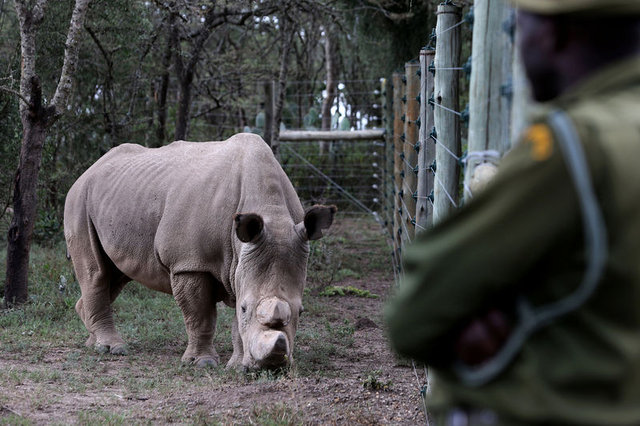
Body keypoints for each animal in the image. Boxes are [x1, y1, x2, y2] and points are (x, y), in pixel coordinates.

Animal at [62, 134, 338, 370]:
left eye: (301, 311)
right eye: (245, 308)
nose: (272, 367)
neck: (271, 212)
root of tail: (89, 169)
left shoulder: (241, 260)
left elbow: (236, 323)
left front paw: (237, 366)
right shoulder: (190, 262)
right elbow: (200, 314)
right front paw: (202, 363)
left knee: (116, 275)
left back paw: (93, 341)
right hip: (79, 198)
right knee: (96, 273)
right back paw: (112, 348)